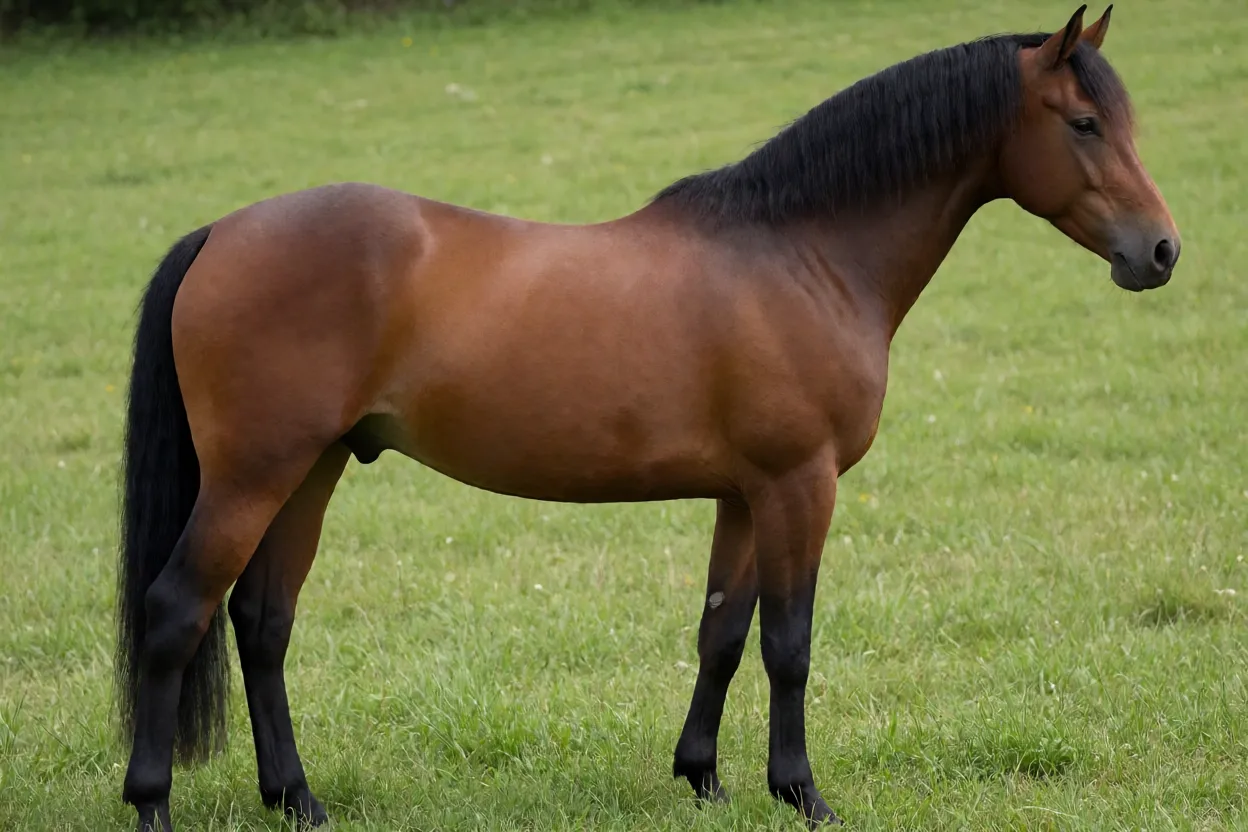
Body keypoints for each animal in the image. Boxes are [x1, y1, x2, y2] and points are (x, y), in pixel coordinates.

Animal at [114, 5, 1178, 829]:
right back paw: (153, 800)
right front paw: (803, 794)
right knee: (176, 612)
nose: (1161, 251)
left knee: (262, 623)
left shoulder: (747, 495)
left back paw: (297, 799)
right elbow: (789, 644)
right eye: (1085, 121)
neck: (802, 252)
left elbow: (723, 633)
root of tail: (222, 233)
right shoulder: (801, 486)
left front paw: (704, 779)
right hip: (254, 476)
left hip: (313, 469)